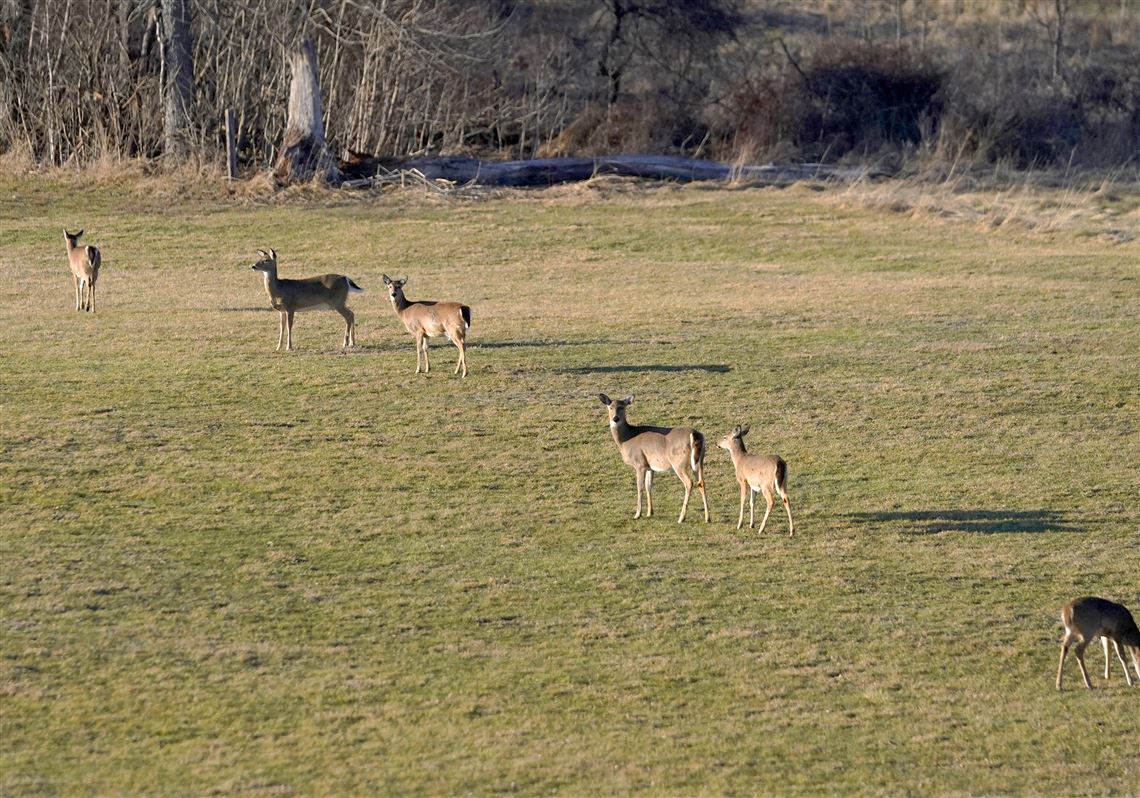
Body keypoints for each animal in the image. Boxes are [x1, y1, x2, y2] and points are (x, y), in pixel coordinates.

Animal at [597, 394, 709, 524]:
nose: (615, 418)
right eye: (610, 407)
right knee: (701, 482)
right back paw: (707, 518)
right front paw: (650, 513)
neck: (626, 440)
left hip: (678, 462)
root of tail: (695, 434)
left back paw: (681, 518)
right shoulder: (650, 466)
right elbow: (648, 486)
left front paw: (637, 514)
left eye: (622, 407)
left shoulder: (639, 463)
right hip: (699, 461)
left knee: (689, 483)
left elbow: (639, 487)